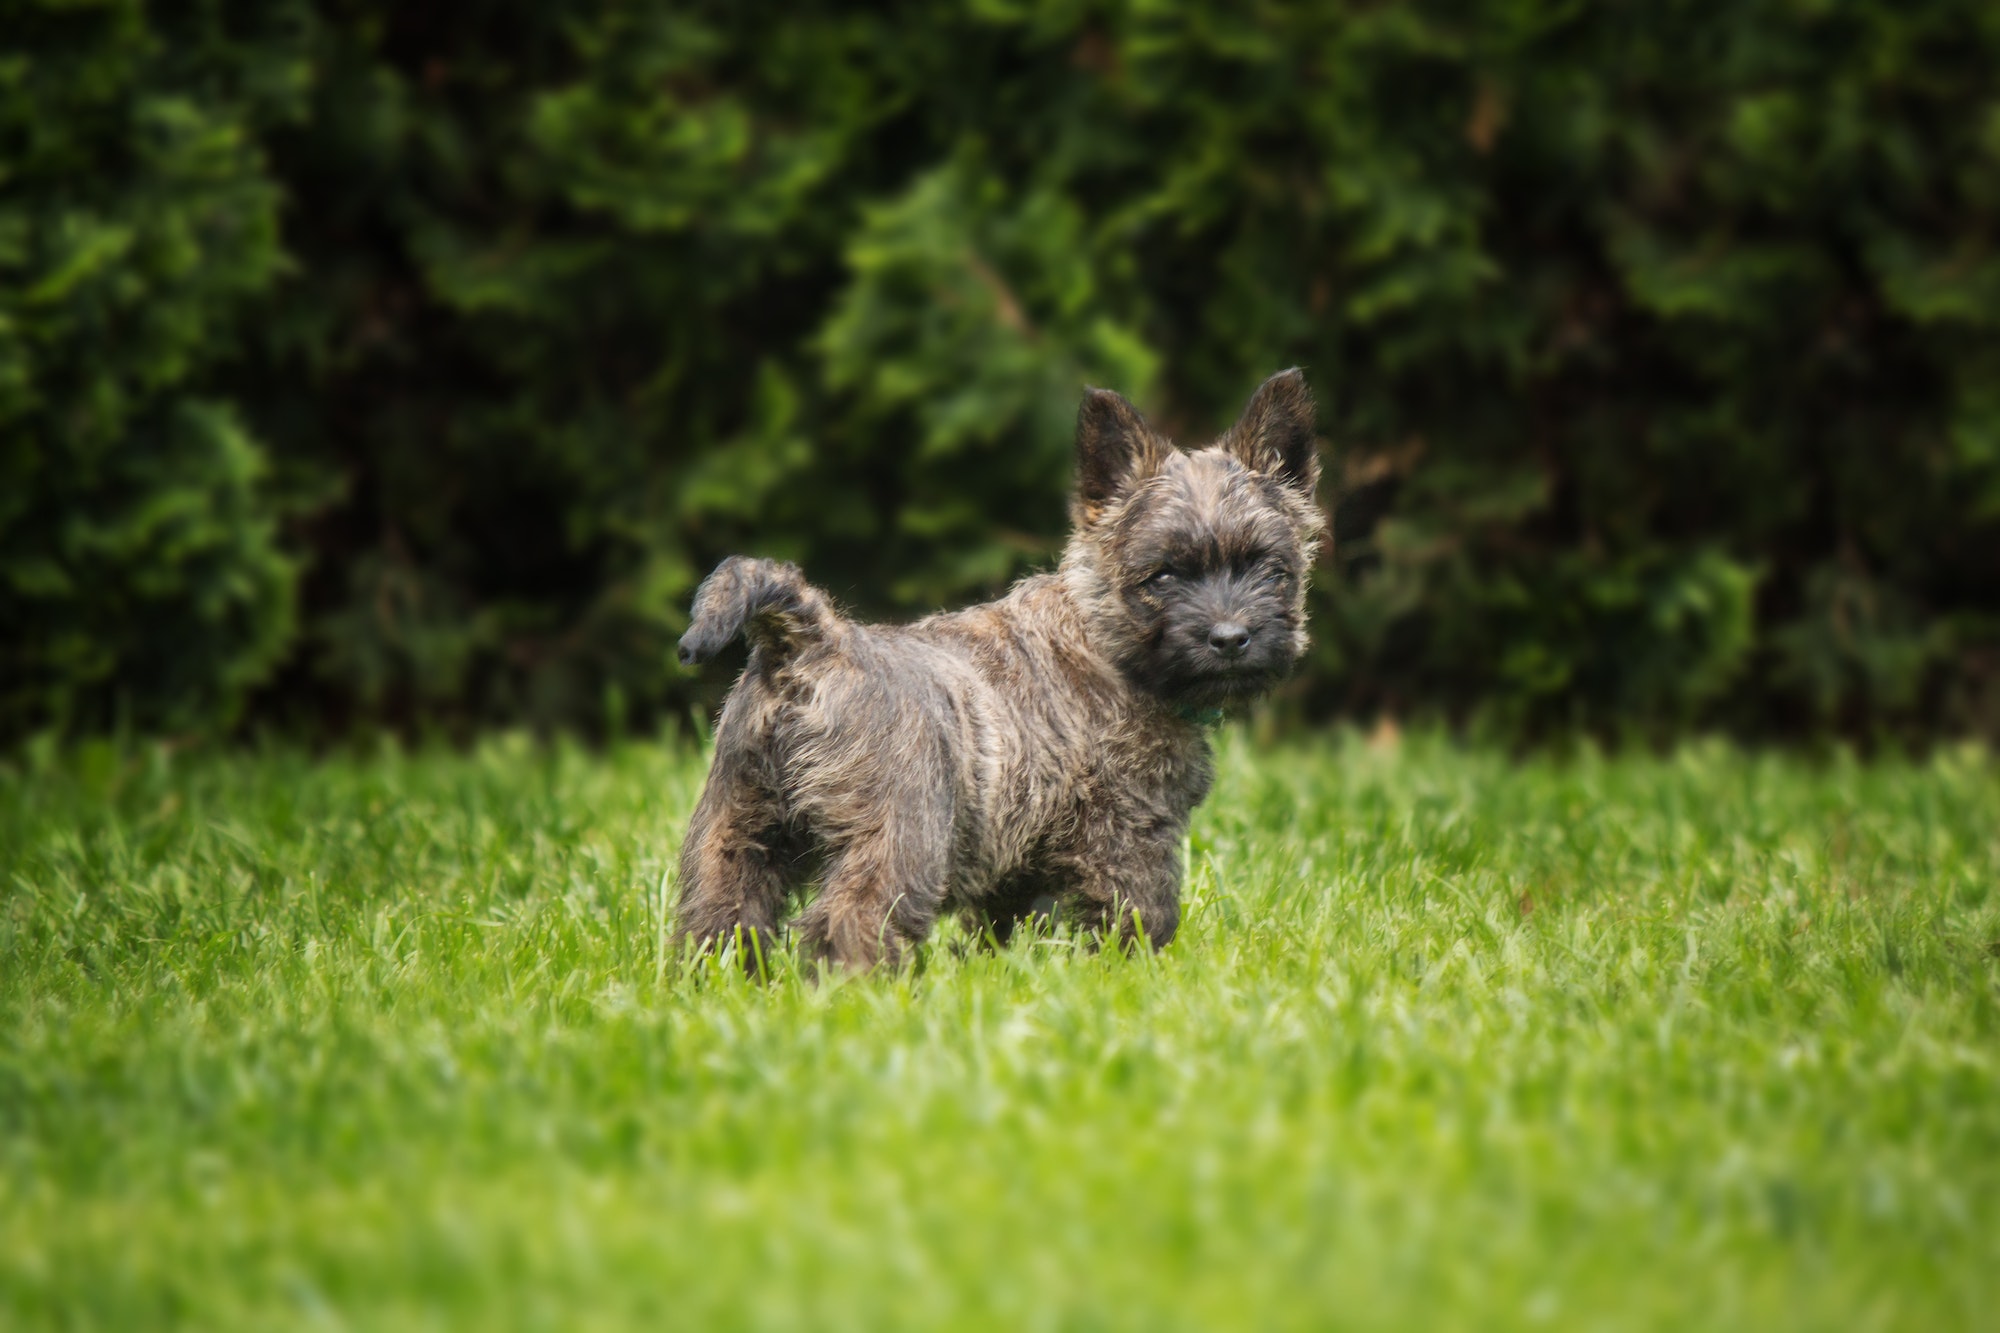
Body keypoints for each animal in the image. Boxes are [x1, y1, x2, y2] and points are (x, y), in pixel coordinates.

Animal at [676, 368, 1328, 972]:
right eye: (1163, 575)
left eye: (1269, 569)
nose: (1231, 639)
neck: (1104, 639)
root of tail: (811, 642)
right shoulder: (1128, 832)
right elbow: (1142, 912)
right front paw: (1130, 976)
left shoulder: (1017, 858)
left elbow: (1004, 926)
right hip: (899, 837)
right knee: (853, 918)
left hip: (734, 825)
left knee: (718, 915)